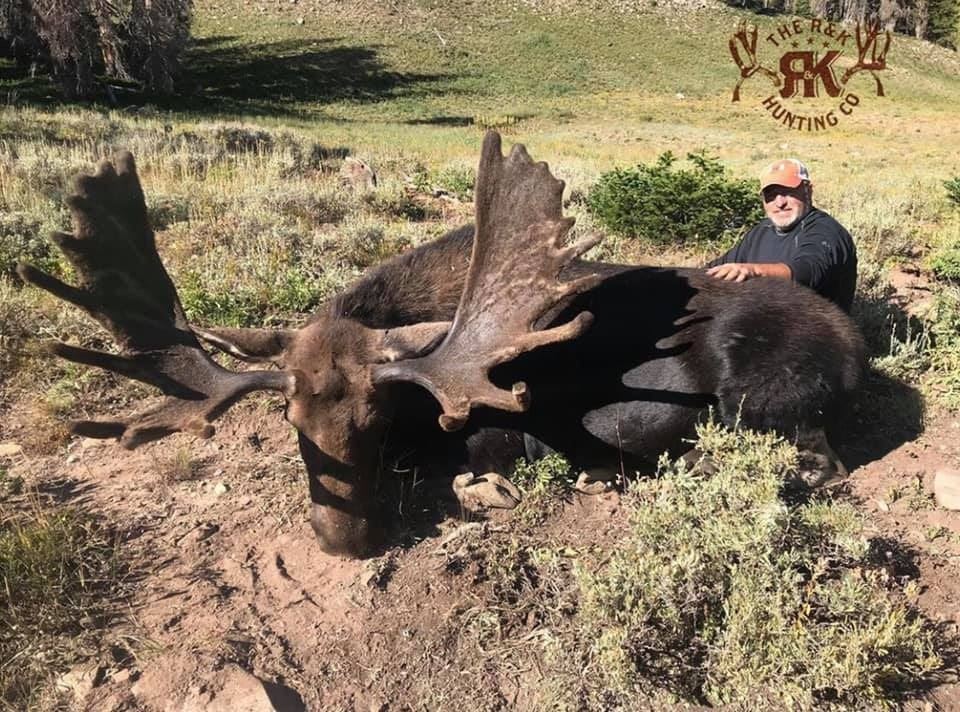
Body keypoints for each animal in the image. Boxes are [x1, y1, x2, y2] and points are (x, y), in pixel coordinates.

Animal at [18, 132, 864, 558]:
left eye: (375, 419)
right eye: (291, 426)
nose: (345, 542)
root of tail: (857, 351)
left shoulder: (500, 429)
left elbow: (473, 471)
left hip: (759, 402)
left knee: (815, 468)